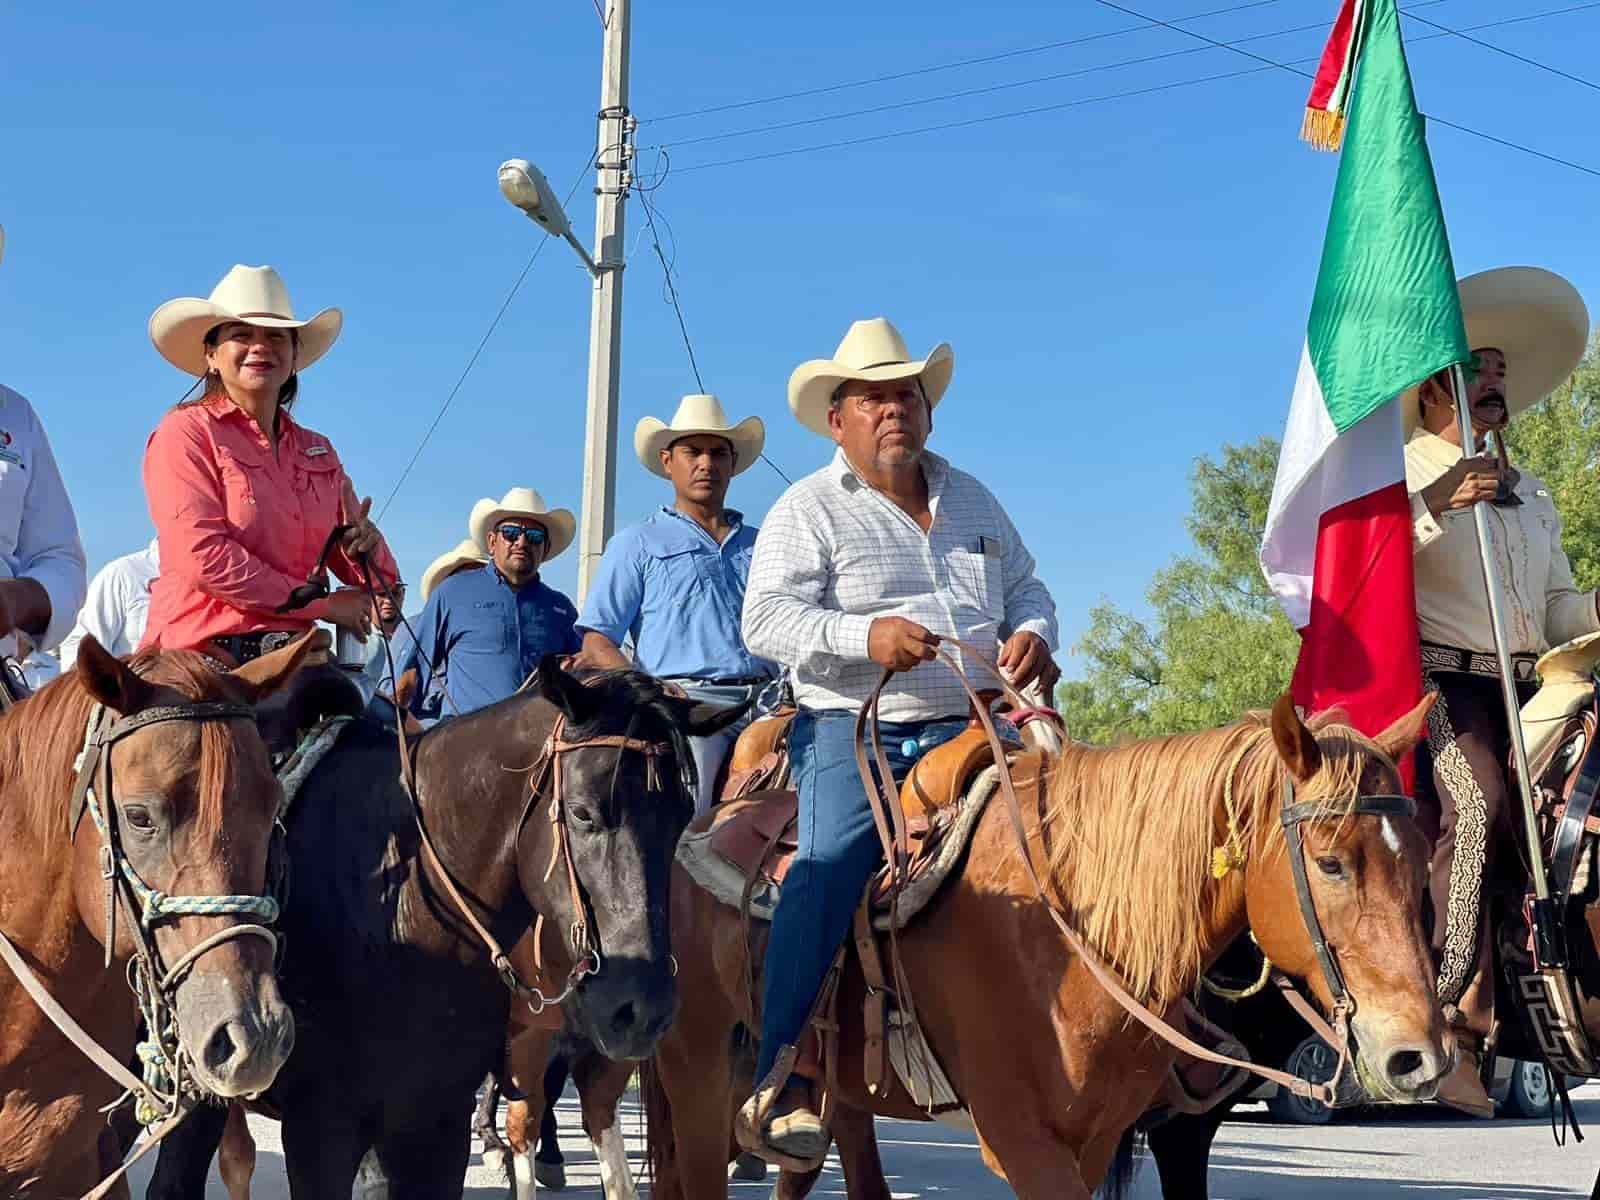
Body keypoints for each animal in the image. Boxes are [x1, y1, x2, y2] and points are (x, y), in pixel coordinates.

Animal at [636, 694, 1452, 1200]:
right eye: (1331, 863)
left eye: (1420, 859)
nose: (1418, 1057)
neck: (1072, 935)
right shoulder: (1023, 1140)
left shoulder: (1100, 1140)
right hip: (698, 1069)